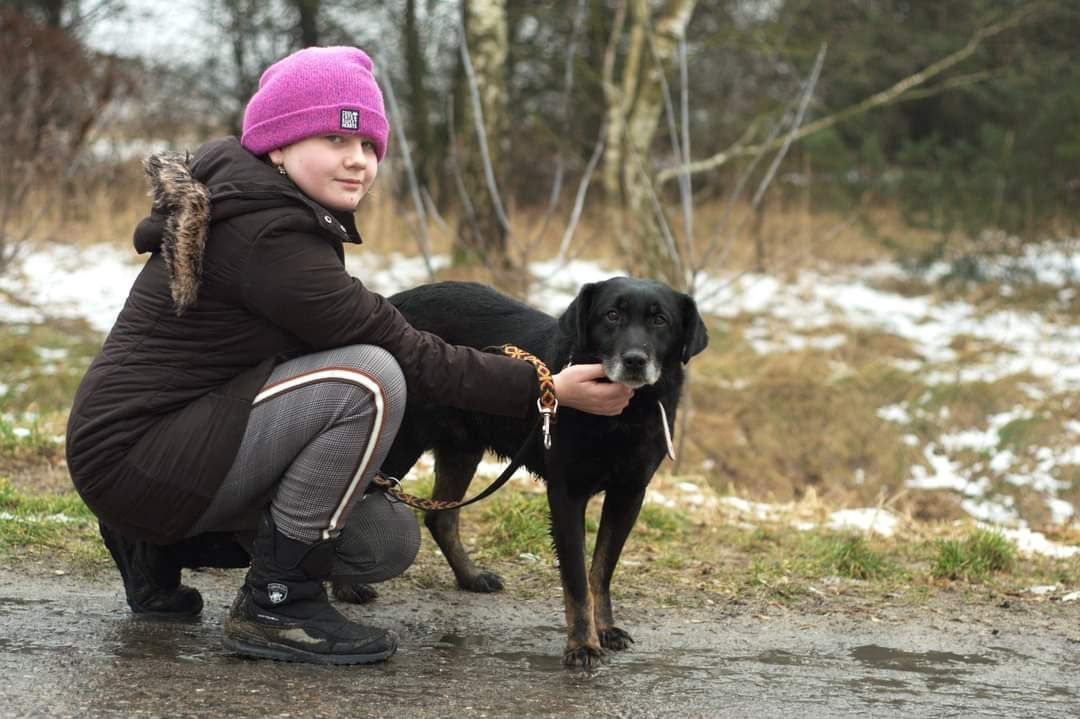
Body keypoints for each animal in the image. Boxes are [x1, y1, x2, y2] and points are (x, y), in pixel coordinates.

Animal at [380, 275, 708, 665]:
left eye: (660, 320)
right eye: (611, 315)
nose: (634, 361)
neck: (625, 415)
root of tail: (393, 300)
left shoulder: (629, 493)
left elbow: (602, 571)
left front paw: (605, 628)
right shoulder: (567, 494)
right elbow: (577, 579)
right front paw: (582, 644)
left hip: (463, 448)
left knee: (439, 517)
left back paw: (471, 577)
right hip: (402, 440)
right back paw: (352, 591)